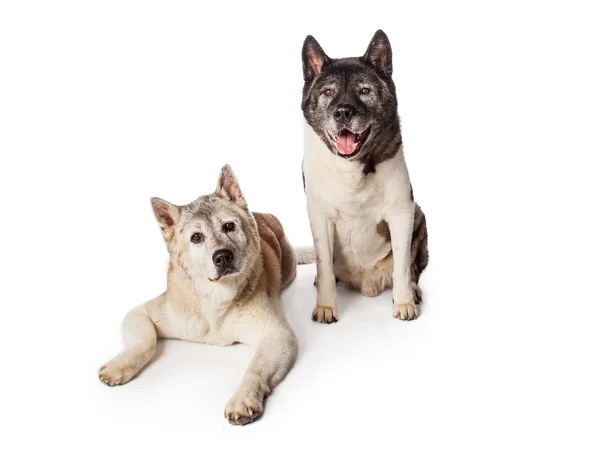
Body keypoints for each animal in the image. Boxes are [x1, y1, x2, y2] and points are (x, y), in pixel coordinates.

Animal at [97, 165, 314, 426]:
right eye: (196, 237)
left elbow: (256, 367)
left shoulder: (278, 336)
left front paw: (243, 397)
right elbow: (145, 342)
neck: (215, 300)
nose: (223, 257)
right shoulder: (141, 313)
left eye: (229, 226)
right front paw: (120, 366)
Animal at [302, 30, 428, 324]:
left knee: (412, 267)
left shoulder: (402, 214)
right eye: (328, 92)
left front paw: (404, 302)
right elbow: (324, 265)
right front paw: (326, 306)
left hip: (420, 218)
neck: (351, 169)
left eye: (365, 91)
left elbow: (403, 266)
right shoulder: (319, 218)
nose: (343, 112)